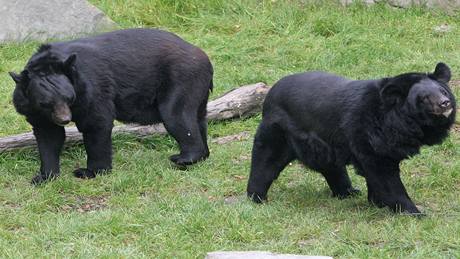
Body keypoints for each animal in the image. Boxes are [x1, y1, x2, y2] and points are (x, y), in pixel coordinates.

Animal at [9, 28, 214, 185]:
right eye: (45, 103)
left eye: (69, 97)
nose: (64, 119)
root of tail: (206, 58)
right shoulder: (36, 112)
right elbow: (49, 136)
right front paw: (44, 177)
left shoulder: (92, 88)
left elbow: (96, 123)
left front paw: (90, 171)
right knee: (198, 119)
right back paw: (201, 155)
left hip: (182, 80)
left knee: (177, 116)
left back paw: (183, 157)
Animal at [246, 63, 454, 215]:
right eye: (425, 98)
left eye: (443, 92)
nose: (445, 104)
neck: (396, 121)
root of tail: (269, 94)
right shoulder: (368, 136)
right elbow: (385, 176)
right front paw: (414, 212)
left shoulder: (387, 144)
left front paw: (377, 202)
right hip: (279, 131)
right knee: (266, 161)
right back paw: (256, 197)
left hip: (324, 144)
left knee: (332, 167)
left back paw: (348, 192)